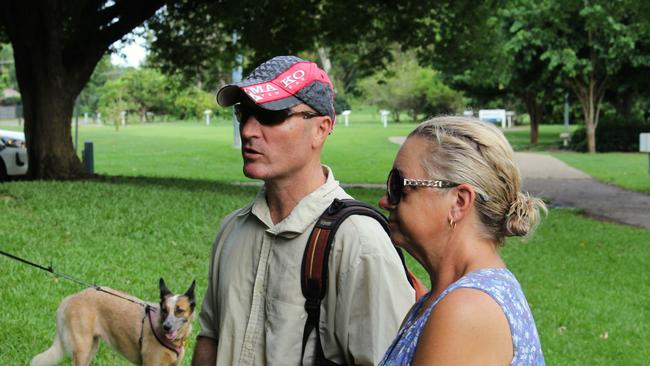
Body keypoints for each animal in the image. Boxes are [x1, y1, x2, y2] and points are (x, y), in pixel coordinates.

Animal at [31, 278, 195, 364]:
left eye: (179, 310)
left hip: (90, 349)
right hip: (82, 350)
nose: (167, 327)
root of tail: (69, 299)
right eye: (164, 309)